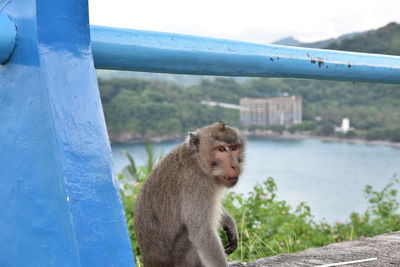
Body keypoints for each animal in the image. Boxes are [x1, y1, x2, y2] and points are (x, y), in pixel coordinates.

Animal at [134, 123, 245, 267]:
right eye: (221, 149)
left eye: (234, 148)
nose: (235, 165)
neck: (197, 161)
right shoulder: (196, 184)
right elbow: (202, 233)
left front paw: (229, 223)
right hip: (179, 260)